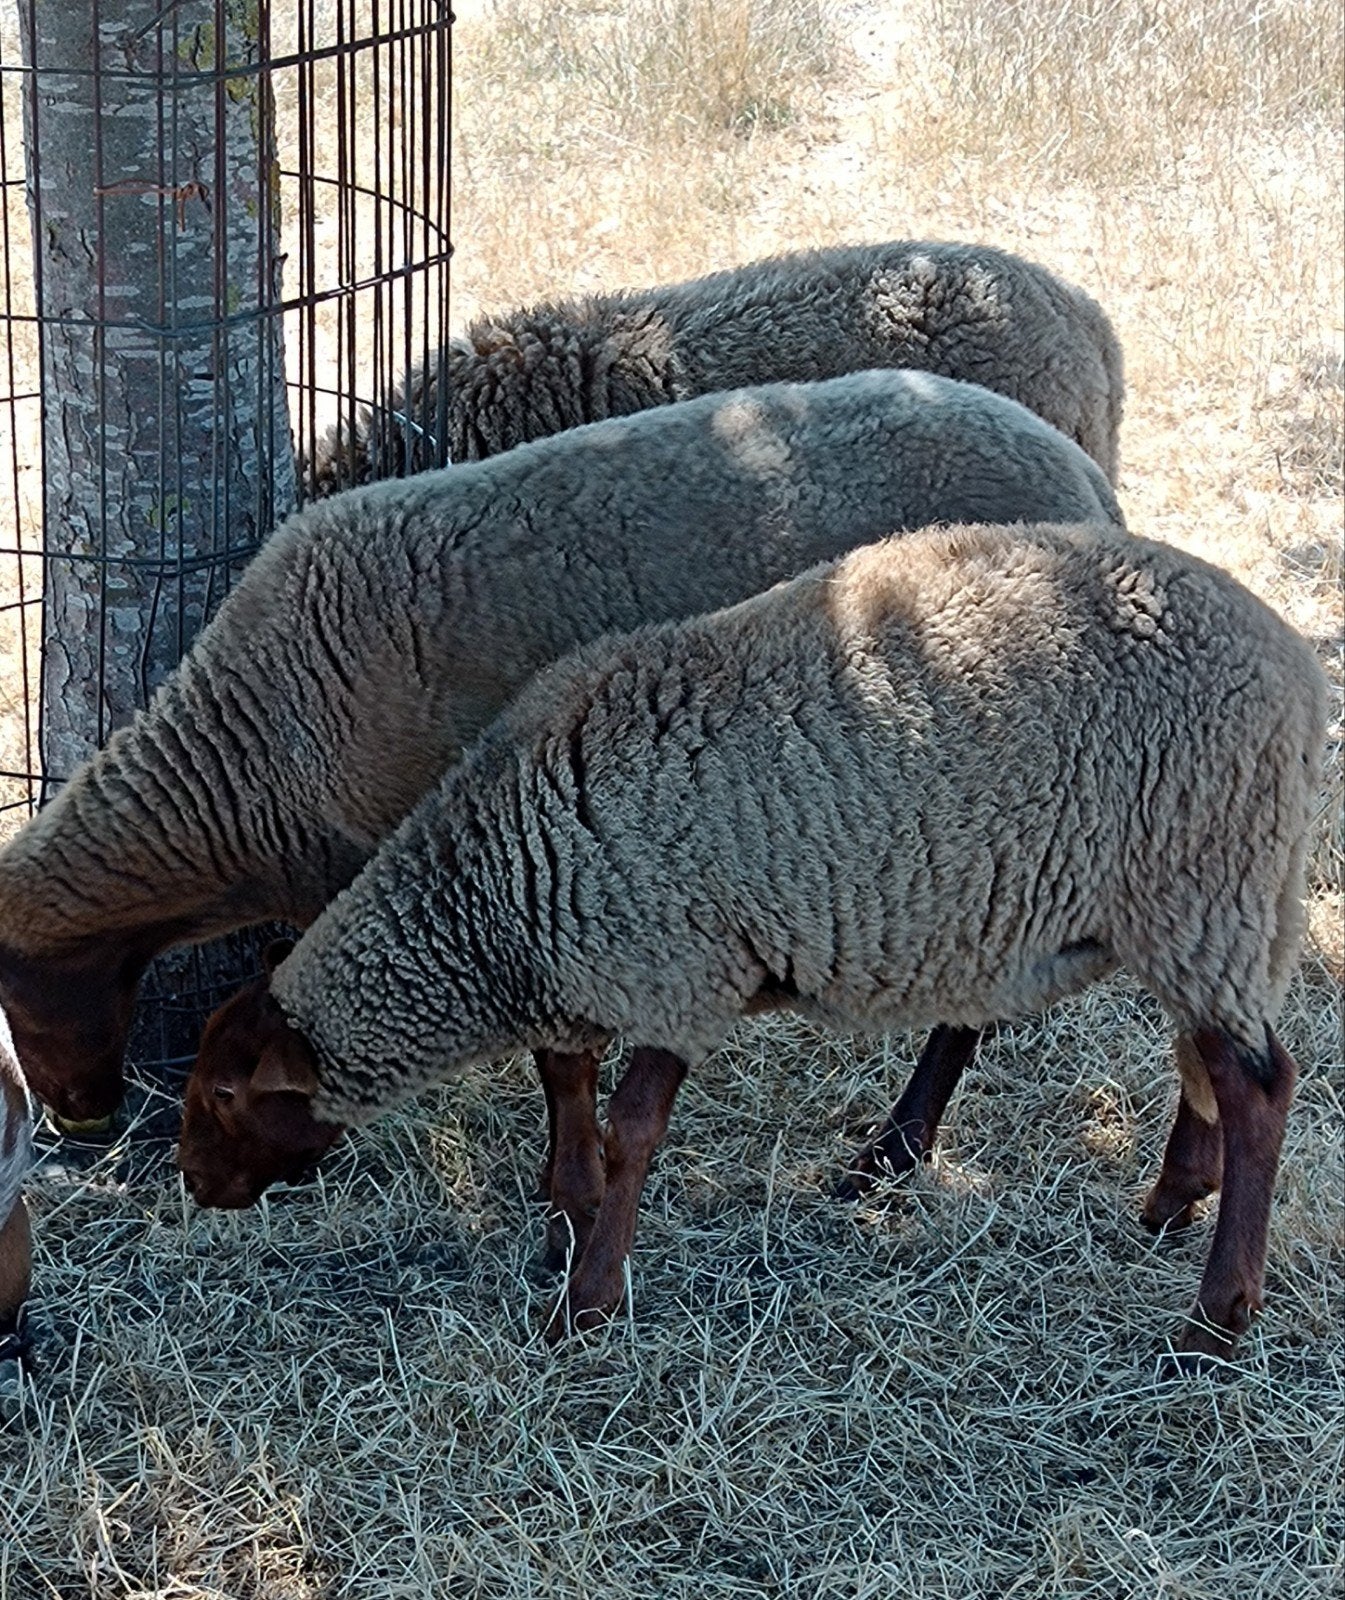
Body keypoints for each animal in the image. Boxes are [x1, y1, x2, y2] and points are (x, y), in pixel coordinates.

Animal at [0, 369, 1126, 1228]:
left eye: (9, 1002)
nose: (80, 1121)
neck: (241, 765)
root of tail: (1087, 486)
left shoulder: (494, 852)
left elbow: (554, 1055)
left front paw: (561, 1186)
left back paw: (891, 1151)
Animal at [175, 521, 1327, 1362]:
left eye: (225, 1094)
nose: (191, 1186)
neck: (497, 890)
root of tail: (1295, 672)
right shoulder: (605, 962)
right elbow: (571, 1089)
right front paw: (565, 1232)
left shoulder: (674, 964)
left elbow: (631, 1129)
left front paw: (586, 1303)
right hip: (1204, 899)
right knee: (1207, 1060)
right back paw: (1169, 1202)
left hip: (1200, 880)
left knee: (1260, 1085)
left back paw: (1215, 1318)